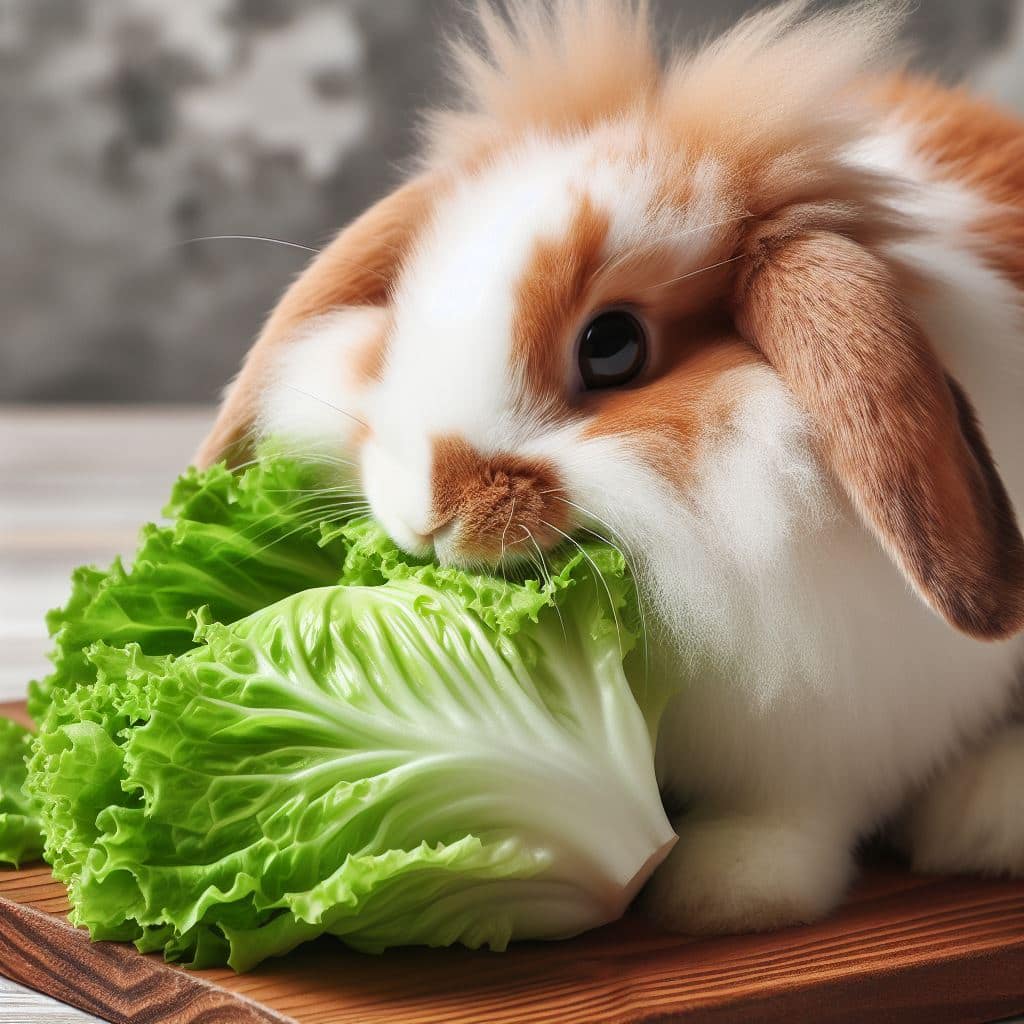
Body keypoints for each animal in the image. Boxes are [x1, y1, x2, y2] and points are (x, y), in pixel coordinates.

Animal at [195, 0, 1024, 936]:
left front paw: (724, 891)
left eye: (614, 346)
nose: (427, 510)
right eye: (405, 308)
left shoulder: (829, 736)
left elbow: (786, 816)